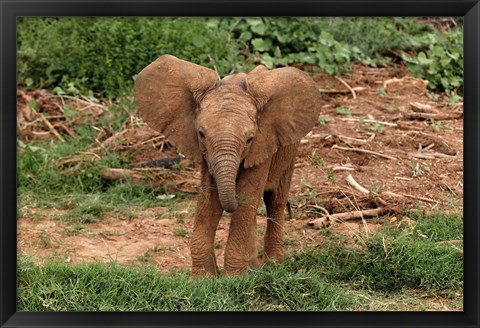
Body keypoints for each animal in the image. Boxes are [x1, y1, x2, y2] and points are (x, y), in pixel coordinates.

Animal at [134, 53, 322, 274]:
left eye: (249, 139)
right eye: (201, 134)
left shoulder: (262, 145)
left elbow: (245, 199)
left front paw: (234, 277)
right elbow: (210, 202)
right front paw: (205, 277)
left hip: (288, 149)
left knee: (274, 199)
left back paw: (272, 264)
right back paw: (254, 267)